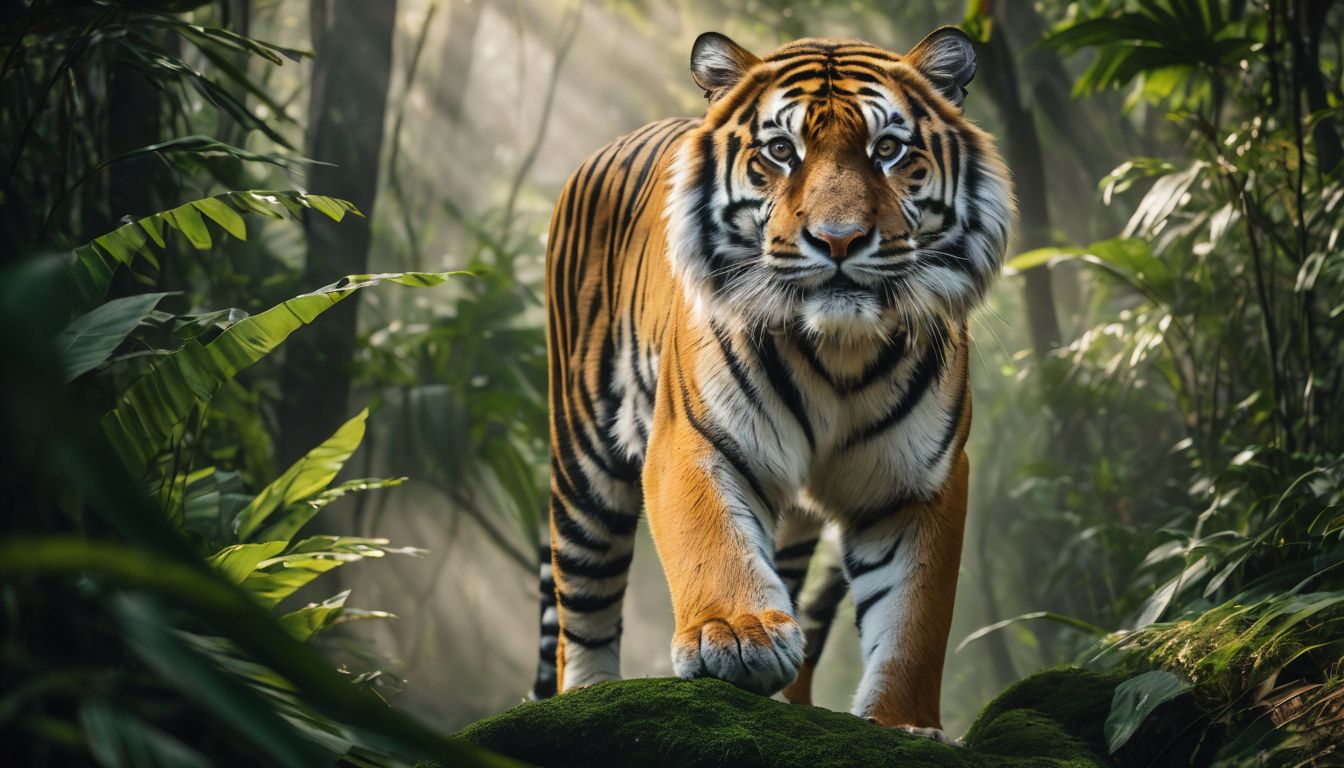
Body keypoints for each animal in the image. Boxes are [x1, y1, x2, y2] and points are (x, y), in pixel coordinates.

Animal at [530, 26, 1012, 741]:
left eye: (889, 150)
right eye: (781, 151)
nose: (838, 240)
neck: (840, 350)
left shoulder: (919, 482)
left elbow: (915, 619)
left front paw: (902, 723)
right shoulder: (695, 438)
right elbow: (713, 540)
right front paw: (736, 636)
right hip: (585, 458)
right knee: (581, 609)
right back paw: (586, 699)